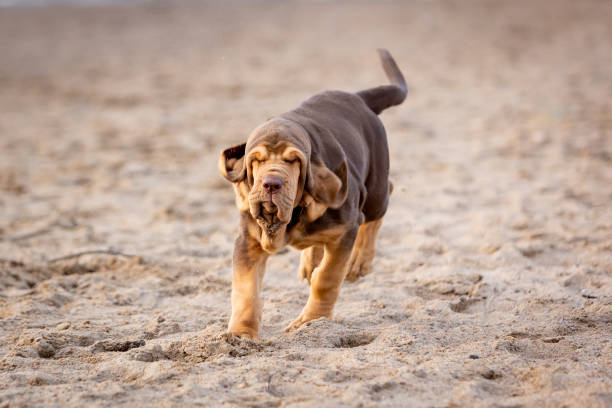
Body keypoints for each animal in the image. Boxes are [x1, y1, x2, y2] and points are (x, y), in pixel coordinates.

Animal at [219, 49, 406, 340]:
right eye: (256, 160)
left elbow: (327, 278)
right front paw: (240, 335)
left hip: (374, 190)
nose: (271, 183)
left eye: (294, 160)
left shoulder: (346, 230)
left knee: (384, 199)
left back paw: (359, 262)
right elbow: (246, 289)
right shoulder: (248, 241)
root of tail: (359, 97)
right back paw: (310, 261)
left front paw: (310, 321)